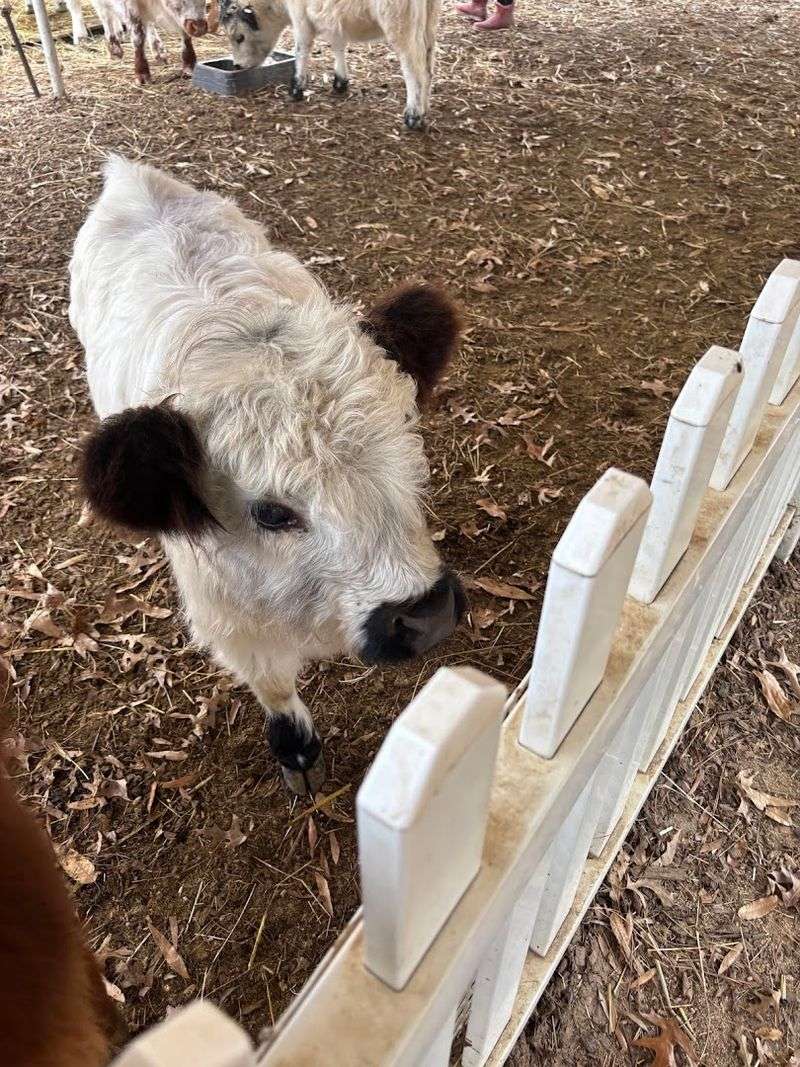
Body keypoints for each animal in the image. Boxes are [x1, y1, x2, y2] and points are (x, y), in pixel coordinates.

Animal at [70, 157, 466, 795]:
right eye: (272, 512)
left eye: (409, 456)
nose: (424, 617)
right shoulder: (231, 621)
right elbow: (275, 687)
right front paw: (297, 752)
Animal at [219, 0, 441, 130]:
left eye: (239, 37)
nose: (236, 66)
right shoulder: (334, 18)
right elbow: (338, 44)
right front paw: (340, 82)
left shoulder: (300, 17)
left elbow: (301, 49)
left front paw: (296, 89)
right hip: (428, 23)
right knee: (428, 65)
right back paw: (424, 109)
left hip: (400, 23)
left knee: (413, 69)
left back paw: (413, 116)